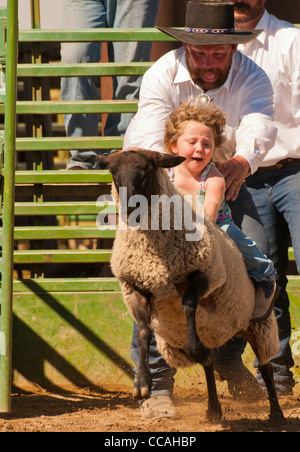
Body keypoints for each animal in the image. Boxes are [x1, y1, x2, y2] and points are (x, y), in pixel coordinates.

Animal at [98, 148, 284, 424]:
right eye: (113, 172)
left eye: (147, 170)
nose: (129, 208)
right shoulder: (135, 287)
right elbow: (142, 331)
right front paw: (142, 383)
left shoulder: (206, 275)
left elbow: (187, 305)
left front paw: (196, 352)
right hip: (209, 331)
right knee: (209, 365)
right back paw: (214, 410)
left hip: (259, 325)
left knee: (265, 364)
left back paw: (277, 413)